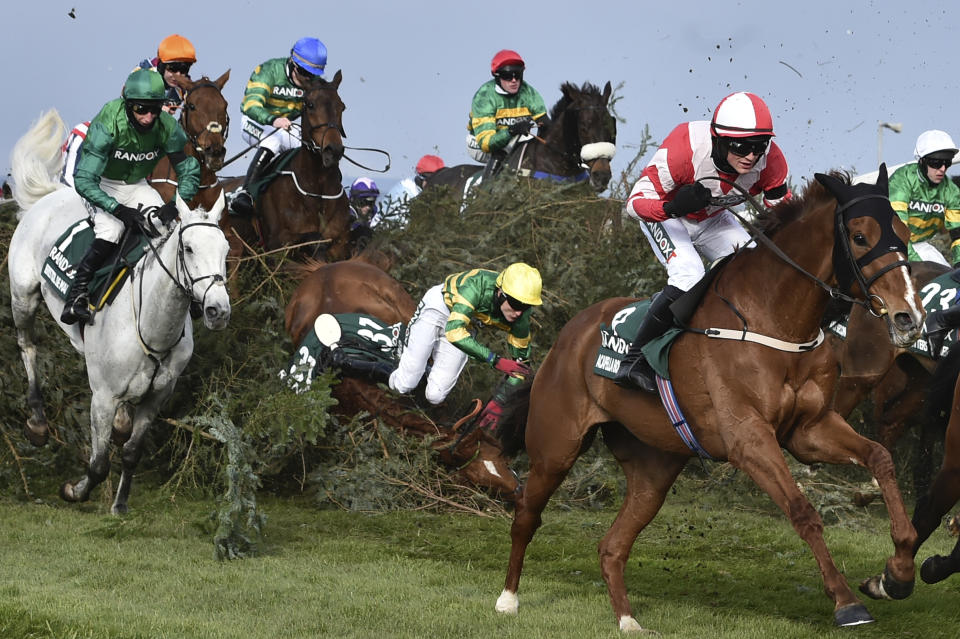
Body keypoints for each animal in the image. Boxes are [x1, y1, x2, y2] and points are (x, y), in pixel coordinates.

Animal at [7, 110, 232, 516]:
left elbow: (130, 452)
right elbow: (98, 464)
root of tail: (51, 194)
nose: (217, 310)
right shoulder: (102, 397)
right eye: (188, 248)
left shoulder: (157, 398)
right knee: (28, 347)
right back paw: (37, 422)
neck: (152, 327)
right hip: (23, 294)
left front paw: (120, 504)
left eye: (225, 249)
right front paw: (74, 491)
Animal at [223, 72, 354, 264]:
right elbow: (314, 238)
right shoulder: (277, 244)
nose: (333, 150)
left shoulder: (341, 245)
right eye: (310, 104)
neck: (317, 189)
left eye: (342, 106)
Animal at [492, 168, 928, 632]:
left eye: (903, 235)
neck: (774, 319)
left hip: (653, 469)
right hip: (556, 449)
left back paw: (628, 621)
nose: (909, 317)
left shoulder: (809, 431)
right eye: (861, 237)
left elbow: (879, 457)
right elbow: (802, 510)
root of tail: (569, 335)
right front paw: (846, 601)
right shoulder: (748, 439)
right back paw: (508, 600)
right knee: (526, 515)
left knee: (612, 545)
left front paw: (896, 574)